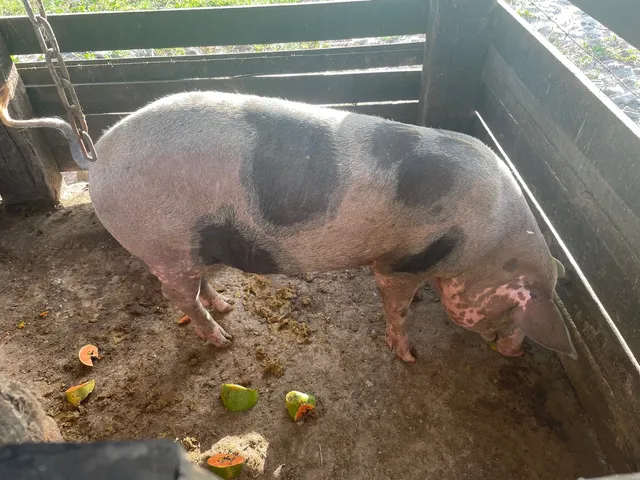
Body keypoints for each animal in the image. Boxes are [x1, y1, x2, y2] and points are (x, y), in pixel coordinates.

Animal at [0, 88, 577, 363]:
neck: (482, 244)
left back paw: (225, 308)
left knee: (196, 283)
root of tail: (96, 158)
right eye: (515, 311)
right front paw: (410, 357)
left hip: (185, 244)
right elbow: (395, 306)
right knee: (176, 297)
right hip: (163, 241)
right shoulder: (398, 263)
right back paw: (223, 339)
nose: (515, 353)